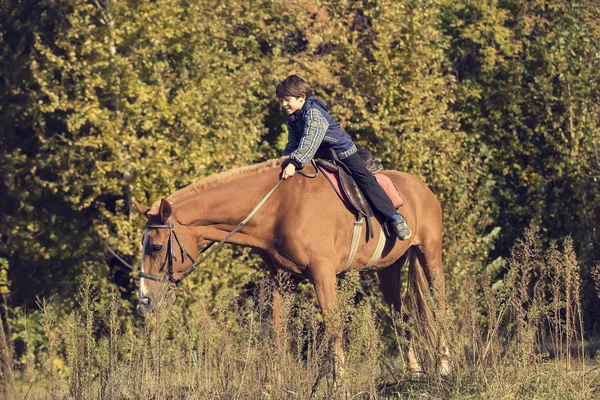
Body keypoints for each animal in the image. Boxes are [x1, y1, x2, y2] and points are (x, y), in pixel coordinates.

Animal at [132, 158, 450, 376]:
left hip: (429, 253)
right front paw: (274, 382)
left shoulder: (322, 274)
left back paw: (444, 365)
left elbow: (332, 326)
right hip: (389, 269)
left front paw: (340, 382)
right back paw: (415, 372)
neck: (277, 206)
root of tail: (420, 187)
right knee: (402, 317)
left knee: (439, 304)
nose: (144, 300)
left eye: (156, 247)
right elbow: (277, 332)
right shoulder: (282, 279)